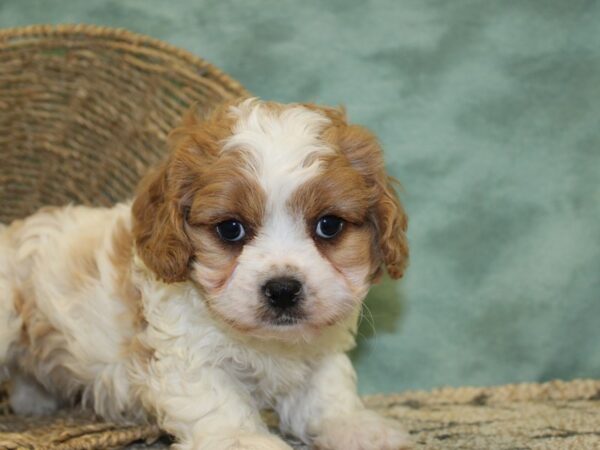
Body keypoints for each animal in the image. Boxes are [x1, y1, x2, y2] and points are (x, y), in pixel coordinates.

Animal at [0, 99, 408, 450]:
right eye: (230, 229)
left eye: (329, 225)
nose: (282, 289)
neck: (266, 343)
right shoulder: (185, 355)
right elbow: (218, 400)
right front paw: (244, 440)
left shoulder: (322, 346)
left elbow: (328, 388)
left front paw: (356, 427)